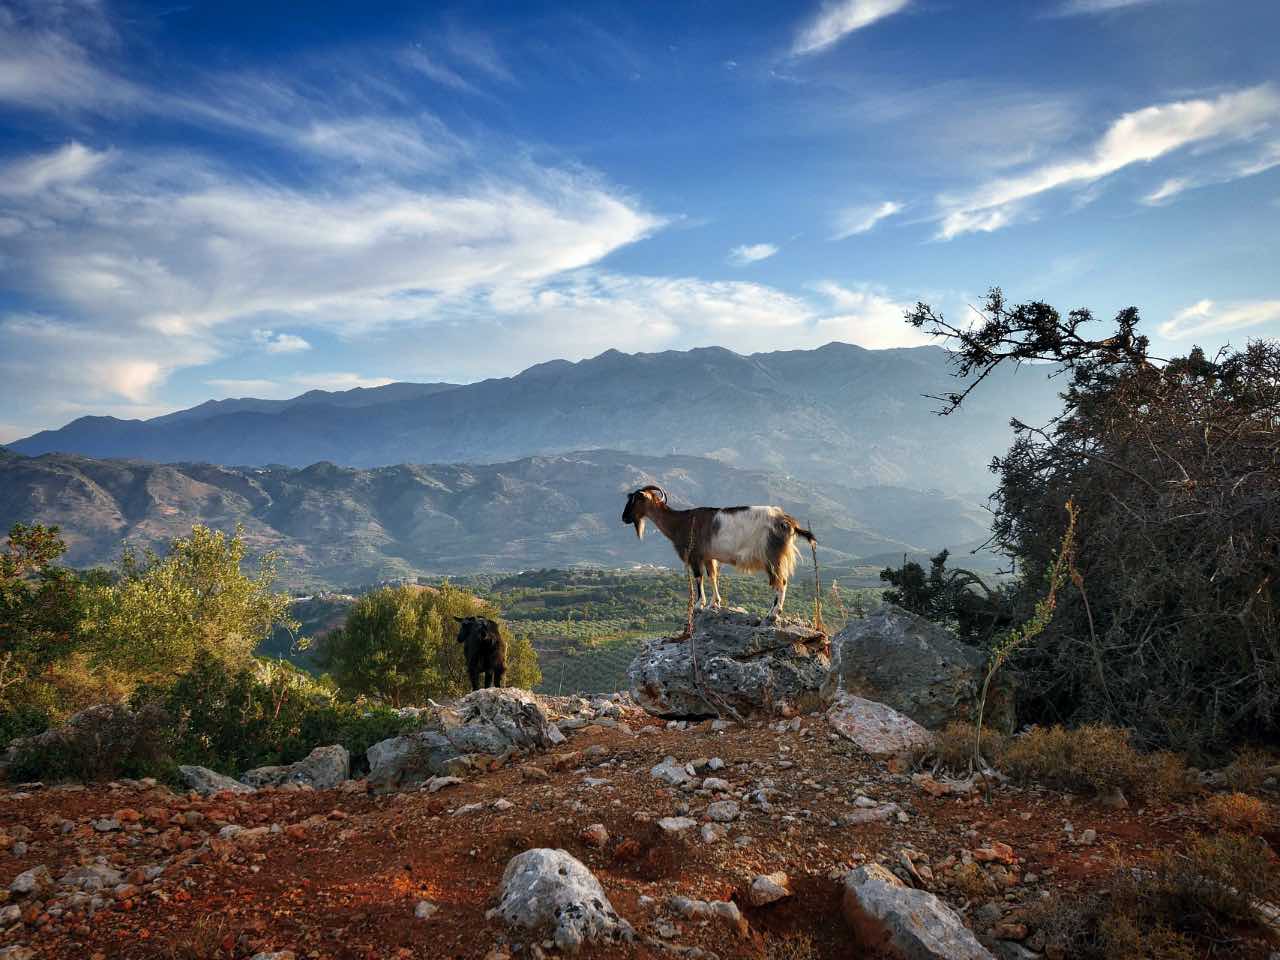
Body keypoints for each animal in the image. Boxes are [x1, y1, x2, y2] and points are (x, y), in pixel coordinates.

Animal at [622, 483, 819, 619]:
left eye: (637, 500)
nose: (624, 518)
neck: (681, 522)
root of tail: (788, 522)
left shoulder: (695, 555)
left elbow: (699, 578)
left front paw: (699, 605)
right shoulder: (709, 557)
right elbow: (713, 576)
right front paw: (714, 604)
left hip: (772, 554)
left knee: (781, 582)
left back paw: (773, 613)